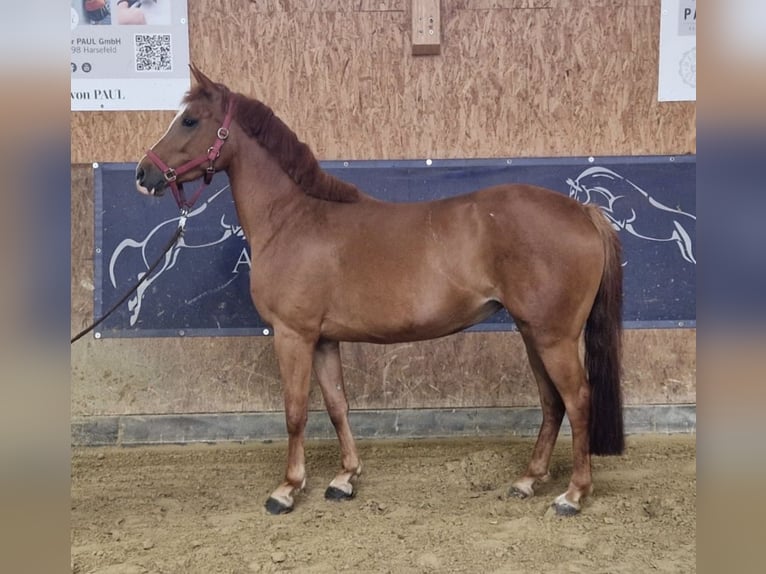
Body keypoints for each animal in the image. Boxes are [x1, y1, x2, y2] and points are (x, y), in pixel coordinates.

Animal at [135, 65, 624, 516]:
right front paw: (344, 479)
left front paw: (287, 489)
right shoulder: (322, 339)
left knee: (577, 400)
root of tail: (582, 211)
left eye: (190, 120)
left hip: (553, 337)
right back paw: (528, 480)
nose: (143, 175)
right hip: (531, 332)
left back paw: (573, 495)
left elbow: (295, 410)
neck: (292, 219)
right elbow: (337, 405)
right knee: (552, 402)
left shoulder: (293, 335)